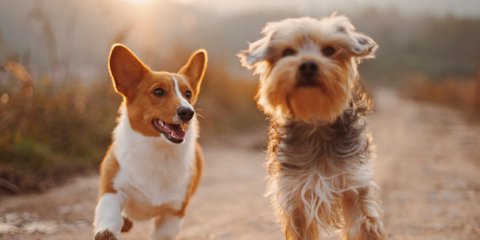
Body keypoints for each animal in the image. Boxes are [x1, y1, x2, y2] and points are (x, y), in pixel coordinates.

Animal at [240, 14, 386, 239]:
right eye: (287, 52)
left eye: (329, 50)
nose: (308, 65)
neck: (315, 120)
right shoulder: (295, 195)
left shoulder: (354, 184)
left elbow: (363, 225)